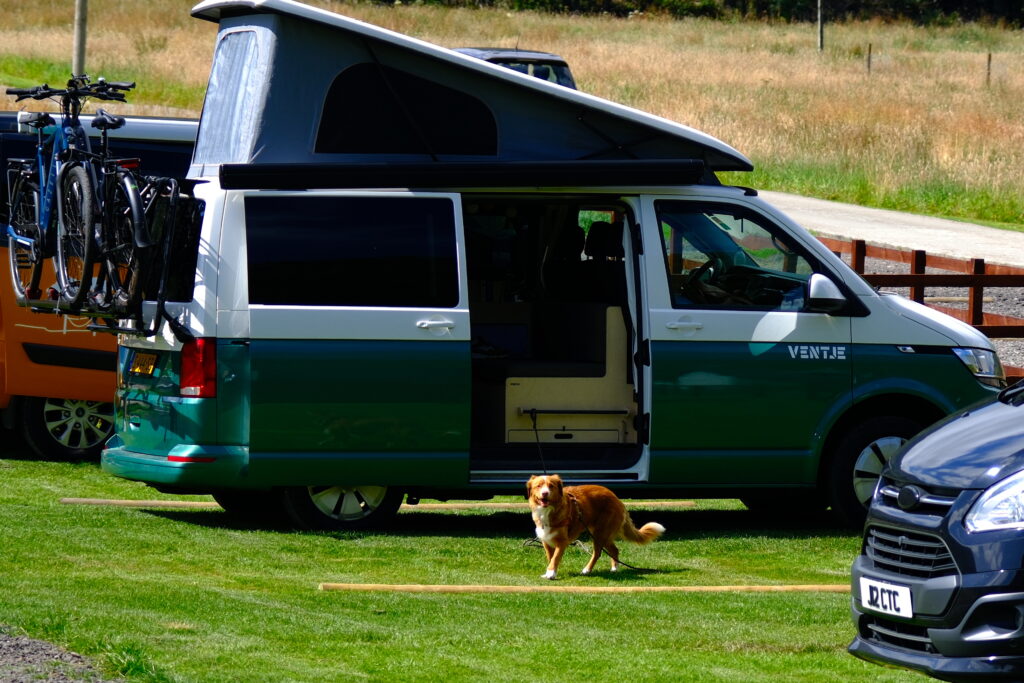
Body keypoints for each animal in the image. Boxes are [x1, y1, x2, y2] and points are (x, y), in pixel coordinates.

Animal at [528, 475, 663, 581]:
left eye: (551, 486)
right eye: (538, 486)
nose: (545, 493)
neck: (548, 511)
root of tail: (616, 498)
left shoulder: (562, 542)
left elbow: (555, 558)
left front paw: (551, 573)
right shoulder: (546, 540)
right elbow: (551, 558)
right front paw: (549, 572)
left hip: (600, 533)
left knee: (597, 553)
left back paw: (587, 570)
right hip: (603, 534)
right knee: (614, 550)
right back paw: (614, 569)